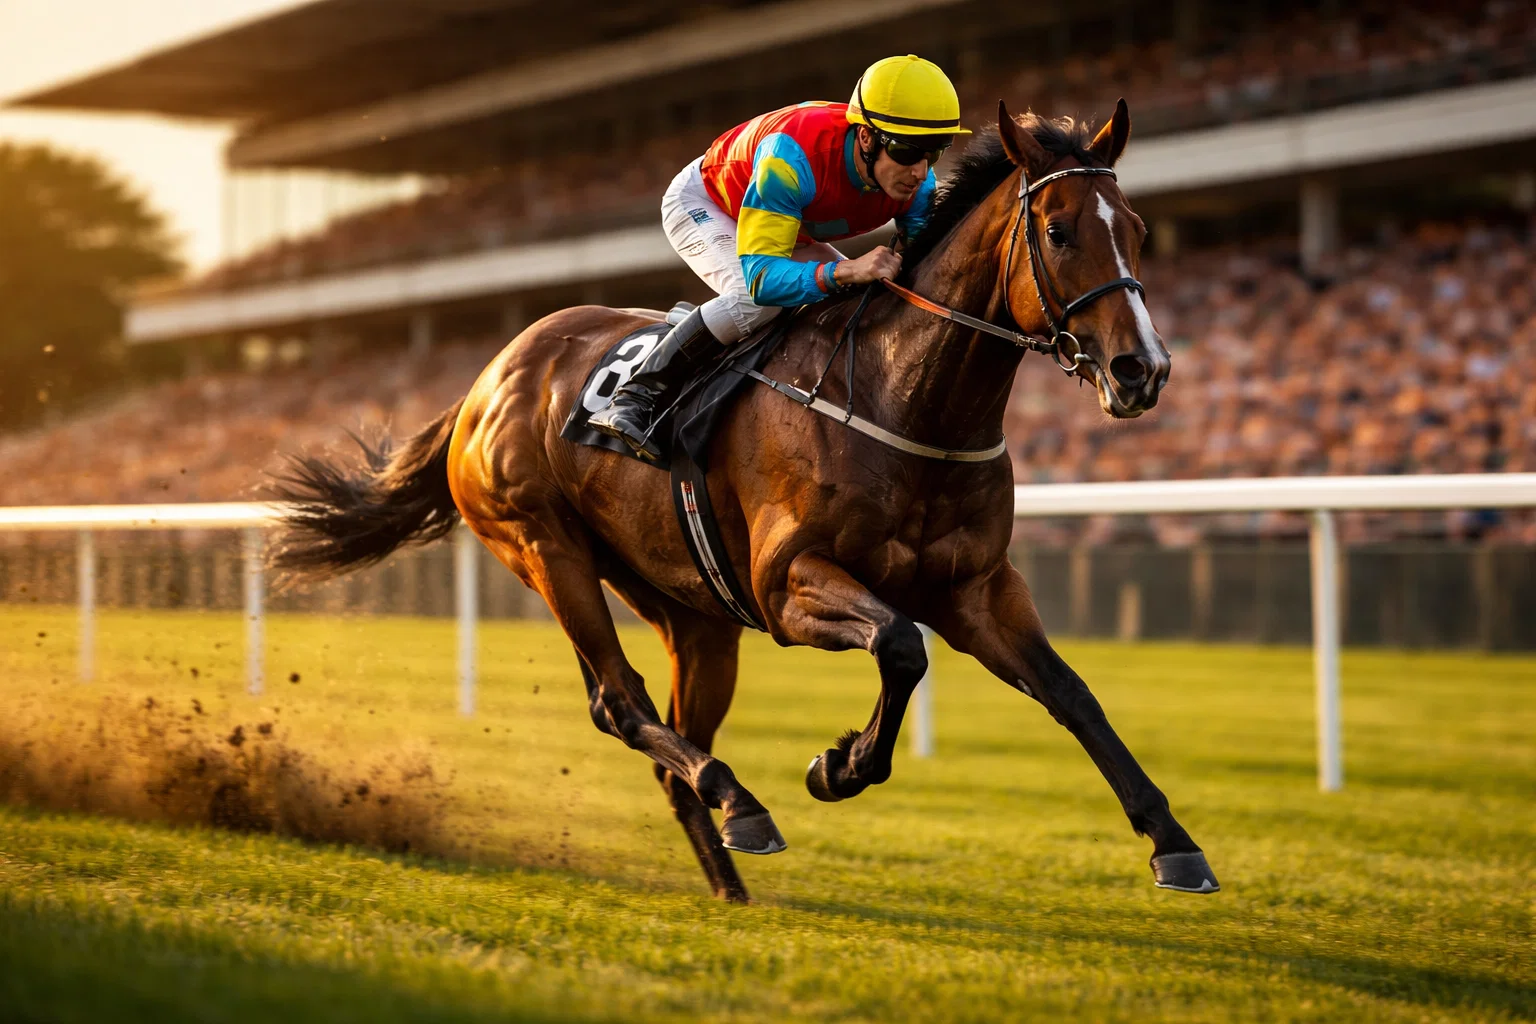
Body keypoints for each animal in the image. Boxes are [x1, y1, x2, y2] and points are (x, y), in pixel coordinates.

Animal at [273, 101, 1218, 903]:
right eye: (1059, 231)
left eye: (1138, 231)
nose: (1143, 369)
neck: (901, 396)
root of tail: (483, 381)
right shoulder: (786, 583)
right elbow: (900, 645)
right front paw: (840, 765)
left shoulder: (977, 589)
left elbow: (1069, 691)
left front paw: (1175, 844)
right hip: (546, 548)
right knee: (620, 702)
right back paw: (742, 802)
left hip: (690, 608)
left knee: (671, 735)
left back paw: (729, 868)